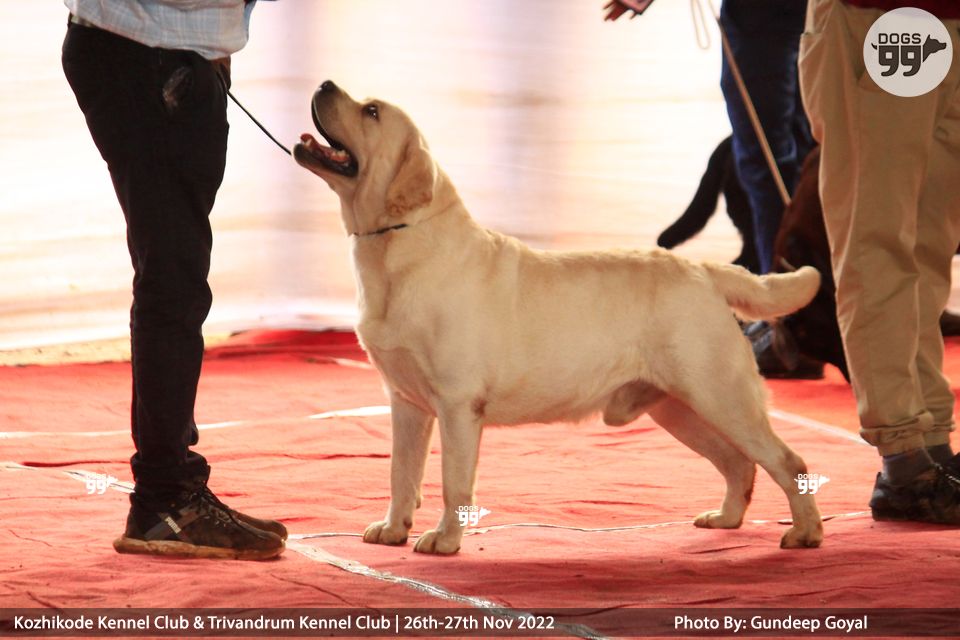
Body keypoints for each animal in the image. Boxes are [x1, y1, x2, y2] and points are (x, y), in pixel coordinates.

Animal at [294, 81, 824, 554]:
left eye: (372, 111)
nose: (324, 84)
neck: (397, 240)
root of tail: (706, 270)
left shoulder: (458, 403)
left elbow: (452, 482)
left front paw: (443, 541)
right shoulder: (405, 401)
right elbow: (401, 473)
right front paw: (393, 529)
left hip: (720, 394)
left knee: (789, 461)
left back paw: (805, 534)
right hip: (678, 405)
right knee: (739, 463)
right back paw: (726, 518)